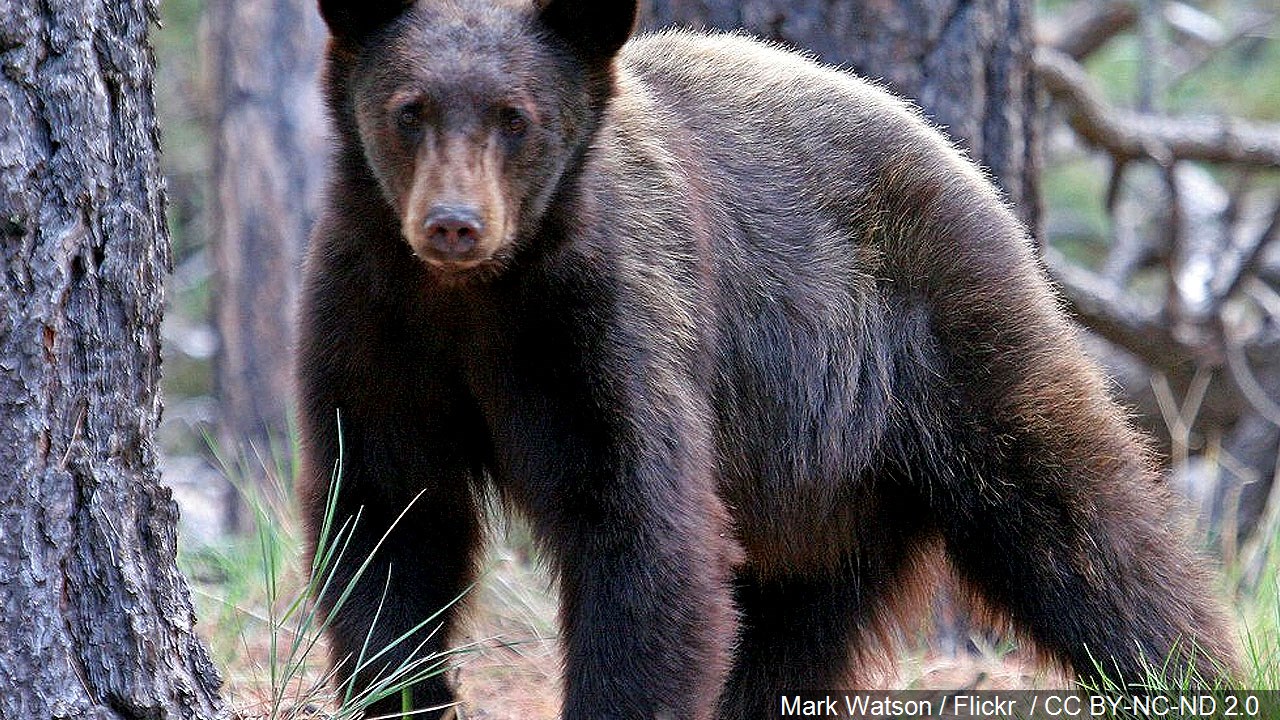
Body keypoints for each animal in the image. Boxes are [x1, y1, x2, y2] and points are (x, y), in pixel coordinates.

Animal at [297, 0, 1239, 718]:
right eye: (410, 108)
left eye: (514, 116)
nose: (455, 223)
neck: (473, 302)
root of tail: (953, 152)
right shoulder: (374, 332)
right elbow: (386, 525)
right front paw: (397, 692)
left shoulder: (606, 330)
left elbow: (645, 535)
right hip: (820, 498)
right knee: (791, 637)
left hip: (946, 338)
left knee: (1082, 525)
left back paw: (1190, 669)